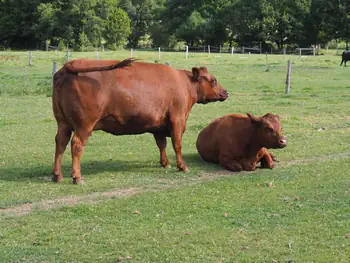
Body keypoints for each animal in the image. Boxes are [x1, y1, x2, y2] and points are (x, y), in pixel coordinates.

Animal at [51, 58, 227, 185]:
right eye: (213, 80)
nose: (226, 92)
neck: (184, 83)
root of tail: (69, 65)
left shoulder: (159, 125)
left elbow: (161, 144)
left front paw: (165, 163)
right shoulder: (177, 119)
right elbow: (177, 144)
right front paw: (182, 166)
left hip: (63, 123)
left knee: (60, 143)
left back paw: (57, 175)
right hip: (84, 125)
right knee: (76, 145)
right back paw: (77, 177)